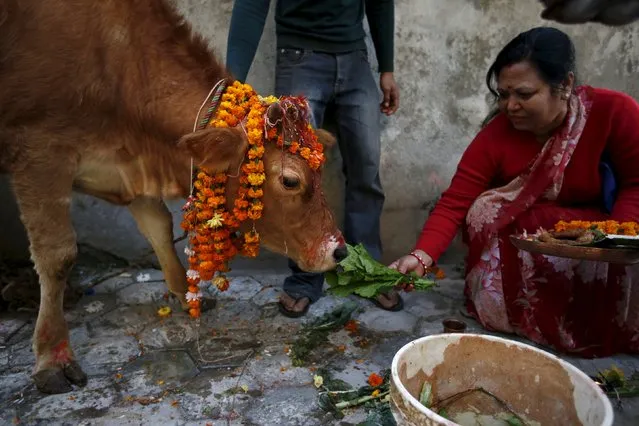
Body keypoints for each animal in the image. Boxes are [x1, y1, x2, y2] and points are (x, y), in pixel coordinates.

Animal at [0, 0, 348, 392]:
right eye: (290, 181)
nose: (339, 250)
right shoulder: (40, 152)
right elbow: (57, 256)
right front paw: (53, 357)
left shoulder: (128, 163)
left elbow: (160, 229)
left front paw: (185, 293)